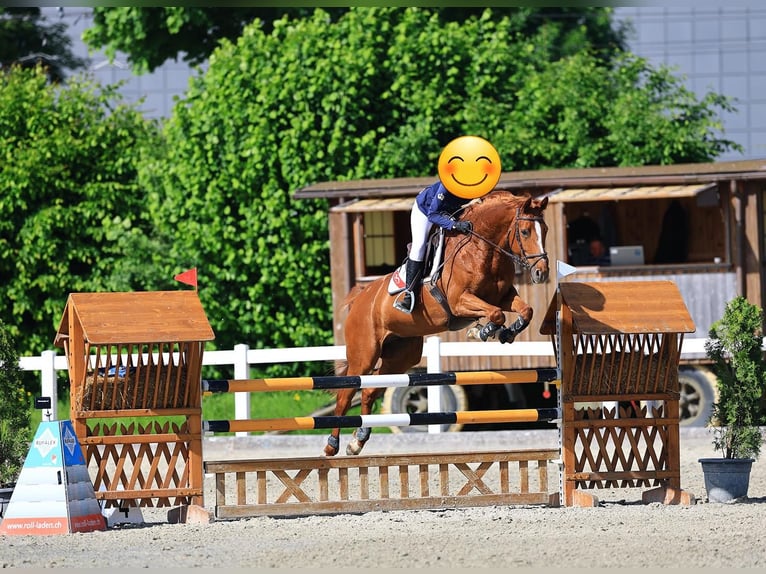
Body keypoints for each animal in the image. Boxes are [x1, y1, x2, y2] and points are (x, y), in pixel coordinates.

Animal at [323, 190, 550, 456]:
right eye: (525, 232)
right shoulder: (459, 302)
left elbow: (526, 310)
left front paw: (506, 333)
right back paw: (332, 444)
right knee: (346, 394)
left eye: (545, 230)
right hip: (365, 354)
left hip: (400, 356)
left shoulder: (504, 297)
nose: (541, 273)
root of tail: (360, 298)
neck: (483, 249)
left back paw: (357, 441)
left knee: (369, 391)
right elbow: (496, 315)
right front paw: (480, 332)